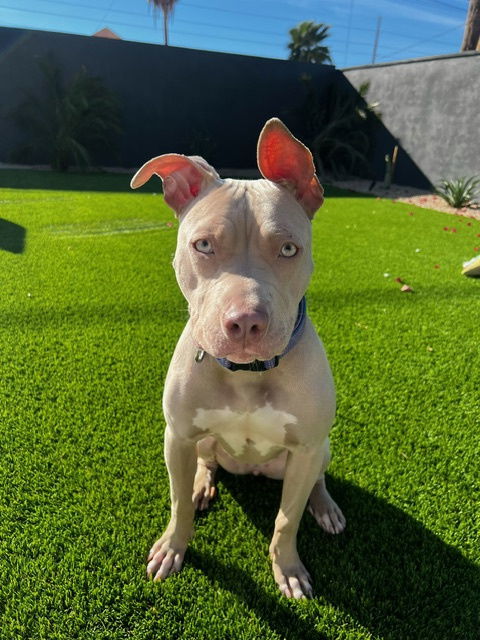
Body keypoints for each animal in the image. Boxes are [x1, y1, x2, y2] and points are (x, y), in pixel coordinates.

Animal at [131, 116, 344, 600]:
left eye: (289, 249)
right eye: (204, 245)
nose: (246, 322)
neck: (248, 375)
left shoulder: (305, 448)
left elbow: (286, 520)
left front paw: (288, 568)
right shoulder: (177, 435)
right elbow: (176, 505)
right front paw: (173, 546)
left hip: (318, 450)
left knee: (317, 480)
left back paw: (325, 506)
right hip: (197, 442)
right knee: (206, 462)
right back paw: (201, 485)